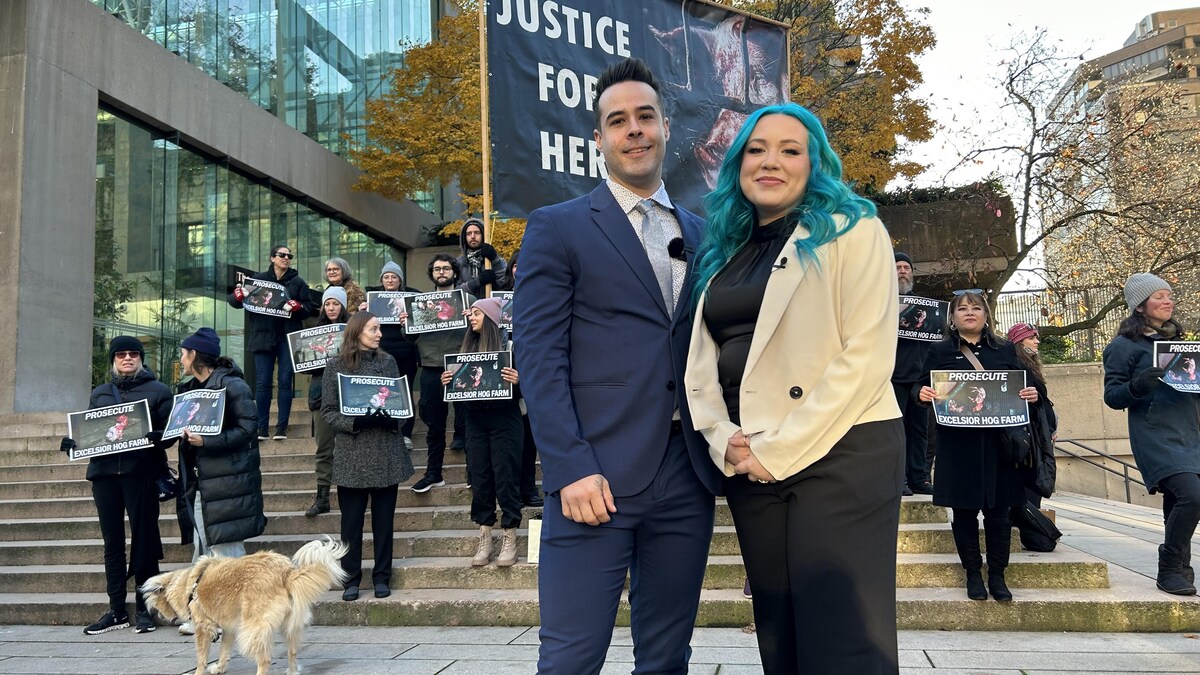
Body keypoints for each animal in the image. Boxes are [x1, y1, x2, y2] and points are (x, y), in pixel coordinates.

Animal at [141, 535, 348, 672]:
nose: (161, 617)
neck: (189, 586)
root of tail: (286, 573)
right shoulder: (228, 628)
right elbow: (224, 651)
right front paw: (219, 668)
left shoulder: (203, 628)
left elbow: (201, 658)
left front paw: (200, 671)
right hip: (290, 627)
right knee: (292, 653)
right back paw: (292, 671)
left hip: (251, 630)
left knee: (264, 660)